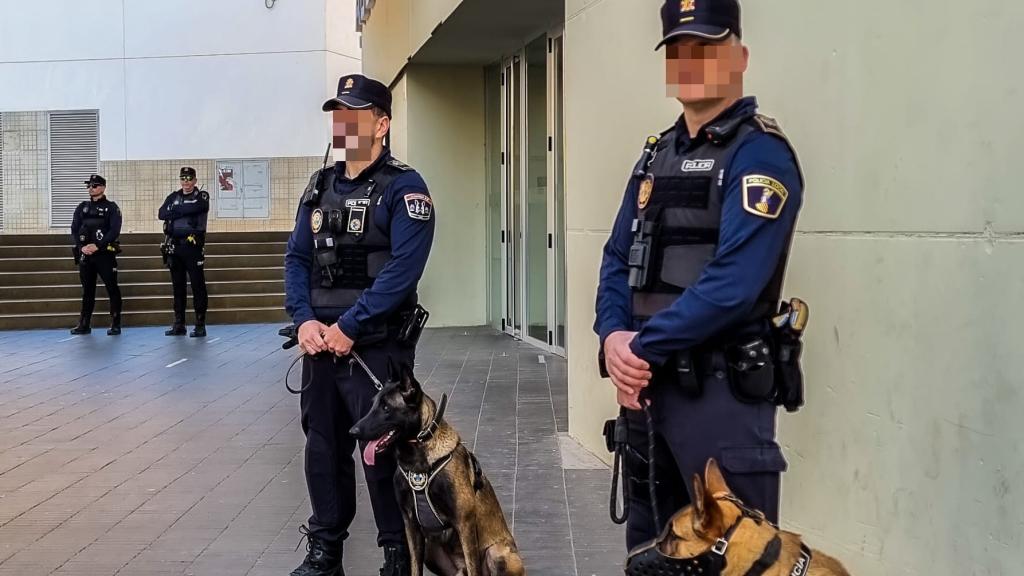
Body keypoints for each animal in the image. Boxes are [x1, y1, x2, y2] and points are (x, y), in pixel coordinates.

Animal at [352, 360, 528, 569]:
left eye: (386, 408)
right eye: (373, 405)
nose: (352, 431)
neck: (417, 462)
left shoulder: (464, 523)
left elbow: (474, 567)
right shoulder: (410, 524)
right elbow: (414, 567)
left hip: (497, 553)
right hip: (430, 549)